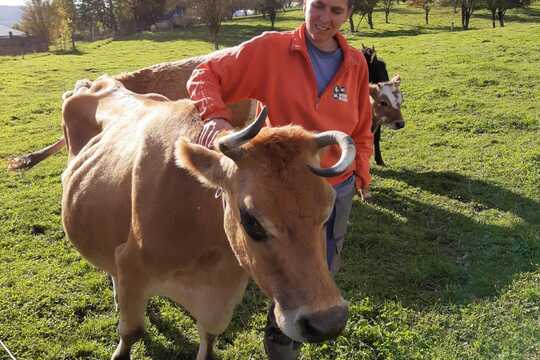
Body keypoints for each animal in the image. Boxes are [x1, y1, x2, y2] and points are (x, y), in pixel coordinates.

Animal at [60, 76, 354, 360]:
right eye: (251, 221)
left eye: (328, 210)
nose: (327, 322)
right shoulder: (131, 269)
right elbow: (130, 333)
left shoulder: (222, 298)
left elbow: (210, 340)